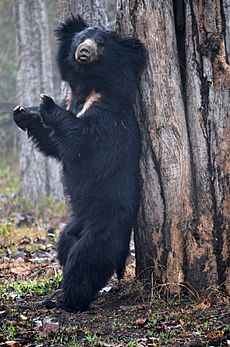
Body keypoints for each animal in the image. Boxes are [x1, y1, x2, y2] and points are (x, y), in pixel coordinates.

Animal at [13, 15, 146, 312]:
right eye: (81, 38)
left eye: (101, 43)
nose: (84, 52)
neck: (88, 85)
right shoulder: (73, 102)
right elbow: (54, 146)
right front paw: (23, 113)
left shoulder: (109, 115)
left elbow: (86, 144)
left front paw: (46, 103)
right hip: (71, 226)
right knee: (65, 248)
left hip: (107, 222)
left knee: (87, 258)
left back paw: (68, 300)